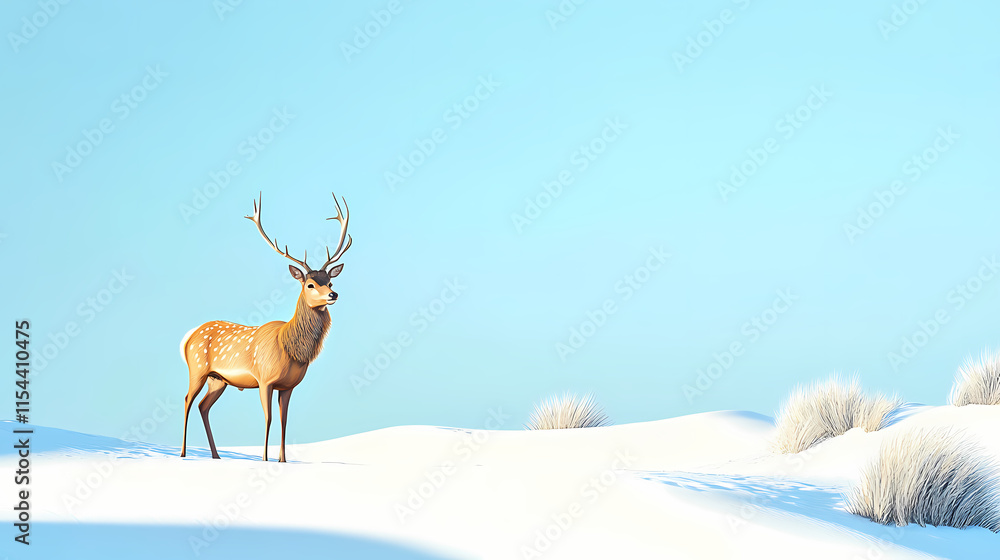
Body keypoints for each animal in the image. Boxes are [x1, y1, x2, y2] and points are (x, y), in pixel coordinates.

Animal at [179, 192, 352, 462]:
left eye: (330, 281)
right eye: (310, 284)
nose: (333, 294)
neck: (290, 349)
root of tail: (188, 337)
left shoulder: (288, 386)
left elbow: (284, 421)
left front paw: (282, 460)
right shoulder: (264, 378)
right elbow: (268, 418)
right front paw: (264, 459)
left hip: (218, 379)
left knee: (203, 406)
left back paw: (216, 456)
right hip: (197, 368)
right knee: (187, 400)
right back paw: (183, 453)